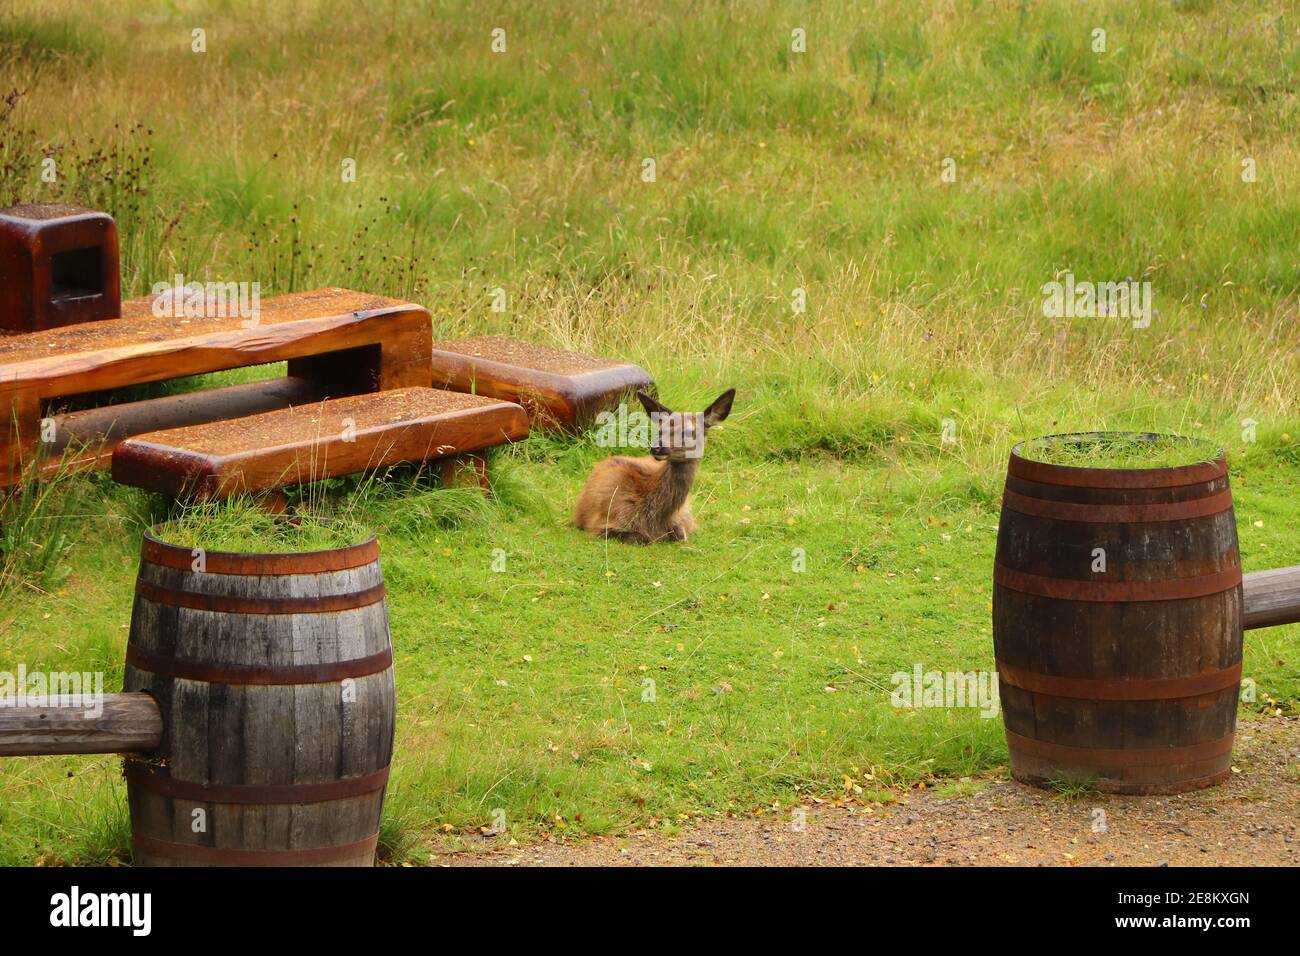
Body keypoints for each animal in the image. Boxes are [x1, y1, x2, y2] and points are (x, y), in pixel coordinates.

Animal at [573, 389, 735, 544]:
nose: (656, 448)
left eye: (690, 431)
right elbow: (642, 538)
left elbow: (680, 535)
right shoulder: (603, 522)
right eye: (660, 429)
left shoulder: (684, 521)